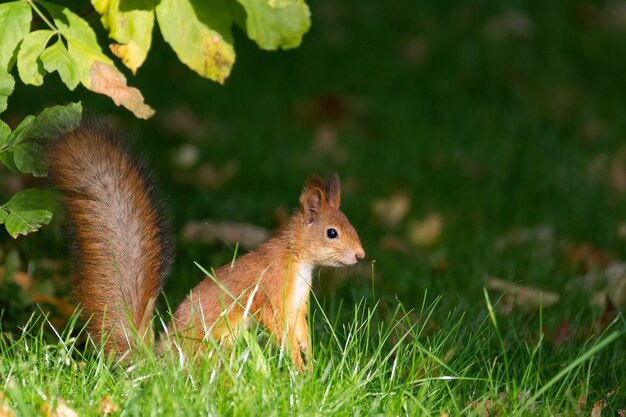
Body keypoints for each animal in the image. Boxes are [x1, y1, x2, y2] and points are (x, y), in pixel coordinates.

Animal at [48, 122, 364, 368]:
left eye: (350, 223)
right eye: (332, 233)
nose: (360, 256)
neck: (298, 260)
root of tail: (160, 366)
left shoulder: (296, 306)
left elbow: (300, 332)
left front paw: (309, 363)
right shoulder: (271, 293)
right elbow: (279, 329)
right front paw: (298, 366)